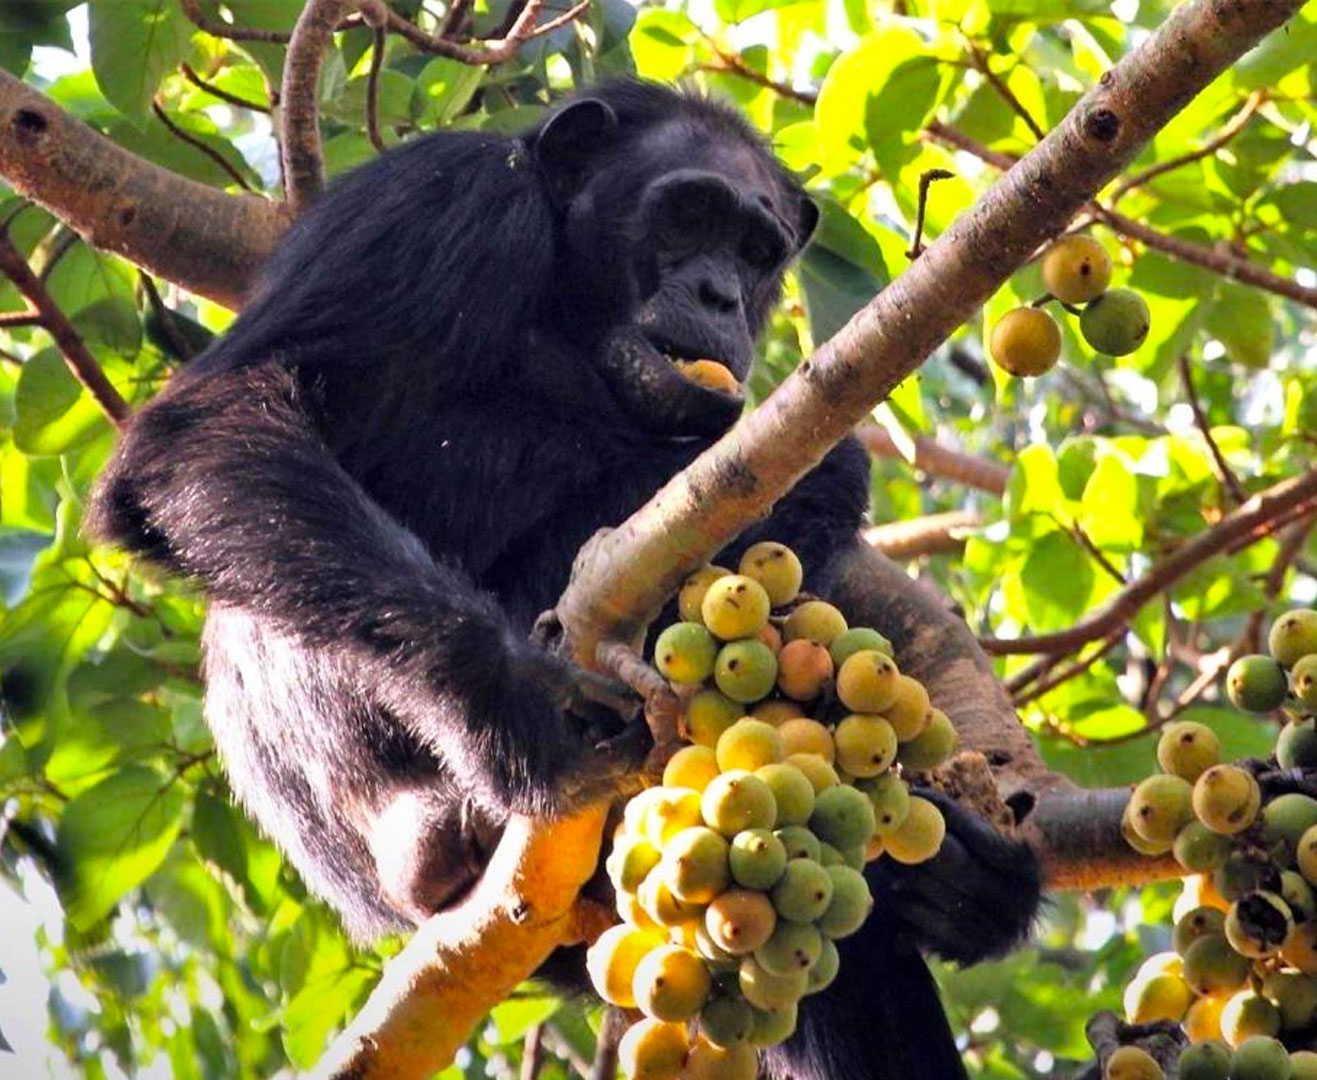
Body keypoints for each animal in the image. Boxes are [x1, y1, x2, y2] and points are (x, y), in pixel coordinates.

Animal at [87, 78, 1043, 1080]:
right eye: (688, 213)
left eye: (755, 250)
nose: (720, 293)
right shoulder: (436, 200)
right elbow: (216, 422)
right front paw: (513, 698)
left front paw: (968, 878)